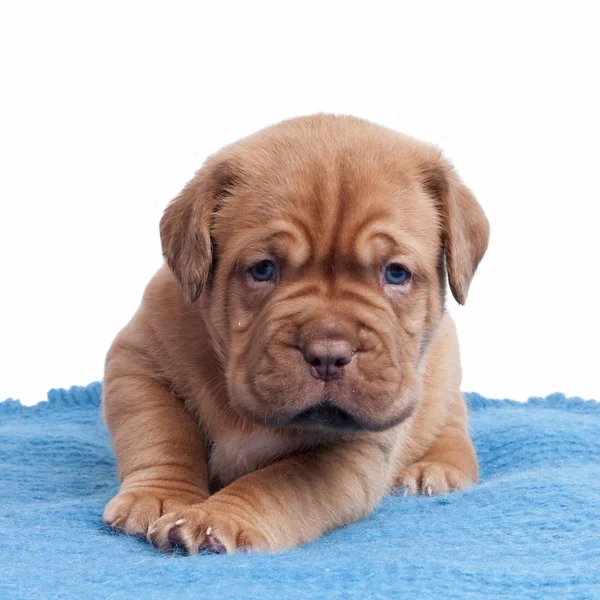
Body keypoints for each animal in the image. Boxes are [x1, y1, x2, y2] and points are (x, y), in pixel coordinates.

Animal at [102, 115, 488, 556]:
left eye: (395, 273)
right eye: (263, 269)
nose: (328, 353)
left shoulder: (352, 450)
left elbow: (279, 482)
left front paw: (216, 517)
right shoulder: (139, 362)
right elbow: (160, 432)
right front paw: (162, 496)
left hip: (443, 377)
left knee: (451, 424)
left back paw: (437, 469)